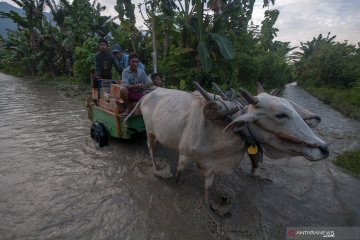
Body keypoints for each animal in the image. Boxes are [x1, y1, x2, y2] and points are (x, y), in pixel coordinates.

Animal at [134, 85, 328, 202]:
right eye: (281, 115)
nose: (324, 148)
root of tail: (150, 92)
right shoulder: (184, 156)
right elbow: (178, 175)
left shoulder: (212, 166)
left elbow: (208, 188)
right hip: (149, 130)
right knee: (151, 149)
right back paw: (156, 168)